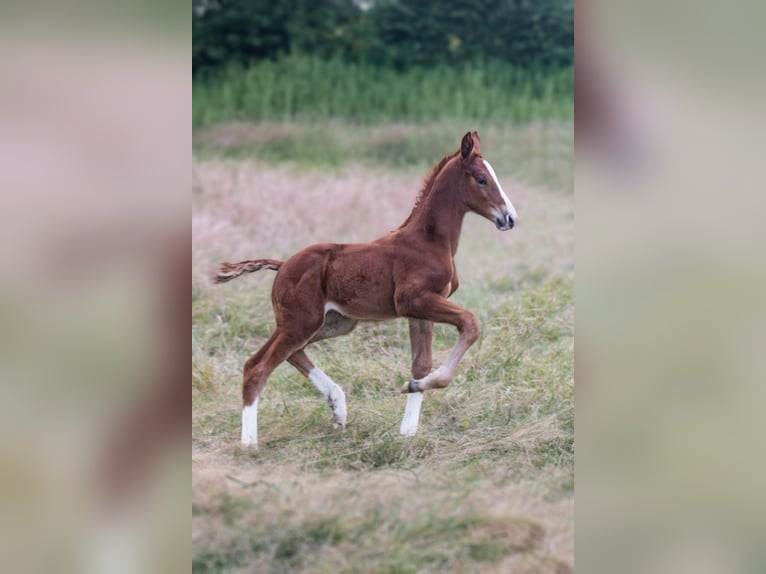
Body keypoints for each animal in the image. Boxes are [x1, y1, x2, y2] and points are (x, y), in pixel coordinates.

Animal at [213, 132, 520, 450]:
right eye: (482, 179)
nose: (510, 218)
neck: (430, 240)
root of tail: (283, 264)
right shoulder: (413, 300)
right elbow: (470, 323)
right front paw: (411, 395)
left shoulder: (419, 311)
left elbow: (421, 365)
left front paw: (408, 427)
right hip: (303, 322)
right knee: (258, 366)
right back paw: (250, 443)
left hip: (333, 322)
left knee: (287, 354)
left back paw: (338, 408)